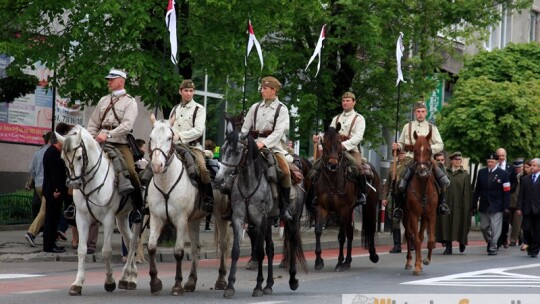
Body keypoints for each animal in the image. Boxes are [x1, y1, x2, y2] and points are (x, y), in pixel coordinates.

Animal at [57, 124, 140, 296]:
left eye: (79, 157)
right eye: (63, 158)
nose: (73, 184)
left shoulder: (107, 219)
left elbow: (106, 251)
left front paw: (109, 282)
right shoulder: (81, 218)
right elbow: (82, 250)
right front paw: (77, 283)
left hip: (139, 218)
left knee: (134, 241)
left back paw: (128, 278)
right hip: (121, 218)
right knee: (130, 242)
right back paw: (129, 277)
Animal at [146, 113, 230, 294]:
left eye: (169, 138)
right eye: (151, 137)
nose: (157, 165)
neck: (166, 182)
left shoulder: (180, 220)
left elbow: (178, 251)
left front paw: (177, 285)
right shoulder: (156, 219)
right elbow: (151, 247)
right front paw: (155, 282)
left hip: (220, 215)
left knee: (223, 244)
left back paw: (221, 280)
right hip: (194, 220)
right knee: (195, 248)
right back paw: (191, 281)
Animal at [310, 124, 378, 272]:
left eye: (339, 143)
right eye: (324, 143)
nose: (333, 165)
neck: (332, 180)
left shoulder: (343, 209)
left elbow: (341, 236)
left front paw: (339, 262)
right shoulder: (322, 207)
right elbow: (318, 231)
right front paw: (318, 260)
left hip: (369, 205)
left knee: (369, 228)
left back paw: (372, 255)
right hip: (351, 209)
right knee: (350, 233)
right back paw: (348, 261)